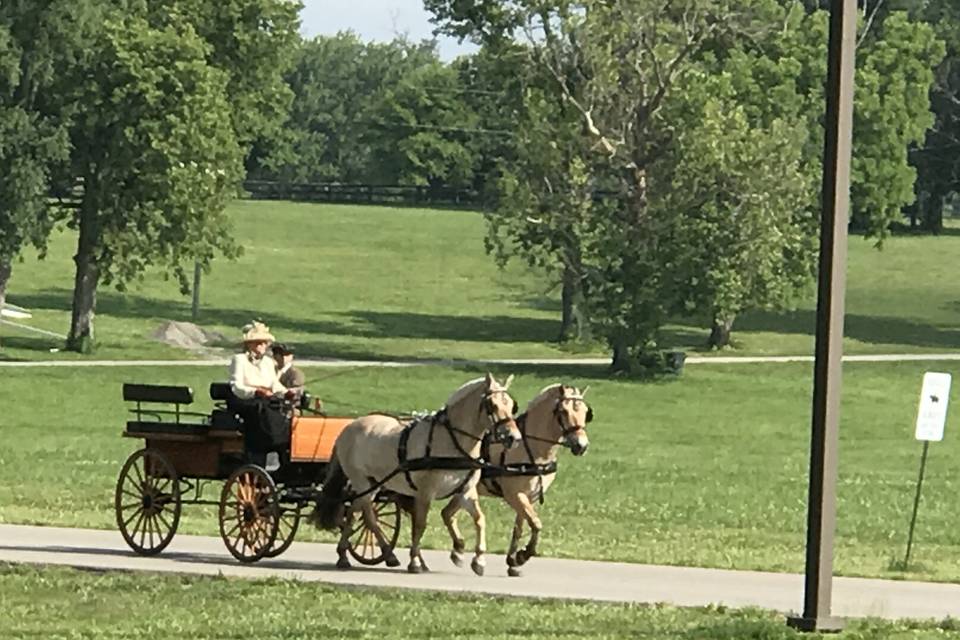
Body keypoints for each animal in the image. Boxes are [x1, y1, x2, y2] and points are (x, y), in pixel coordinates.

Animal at [312, 373, 522, 575]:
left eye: (512, 405)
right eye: (492, 405)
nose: (514, 437)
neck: (452, 442)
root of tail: (347, 428)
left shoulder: (466, 491)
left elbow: (479, 519)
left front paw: (474, 558)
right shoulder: (425, 492)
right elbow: (420, 525)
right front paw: (415, 561)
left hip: (373, 483)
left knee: (354, 512)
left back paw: (343, 555)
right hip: (361, 481)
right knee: (369, 517)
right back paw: (388, 554)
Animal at [440, 384, 592, 577]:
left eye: (586, 412)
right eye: (564, 411)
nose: (581, 445)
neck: (531, 448)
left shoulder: (529, 497)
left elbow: (520, 528)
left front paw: (513, 561)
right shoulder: (515, 495)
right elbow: (536, 524)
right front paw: (523, 555)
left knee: (447, 513)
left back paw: (458, 551)